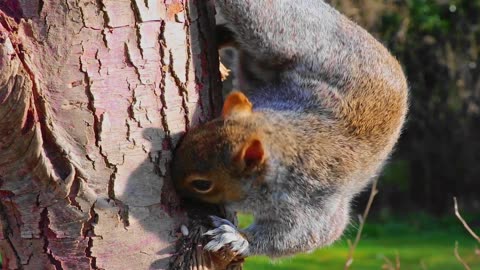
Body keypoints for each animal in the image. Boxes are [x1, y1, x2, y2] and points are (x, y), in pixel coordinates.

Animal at [171, 0, 406, 258]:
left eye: (202, 184)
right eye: (196, 131)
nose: (171, 185)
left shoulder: (310, 205)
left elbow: (304, 236)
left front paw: (237, 238)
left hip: (283, 34)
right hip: (279, 38)